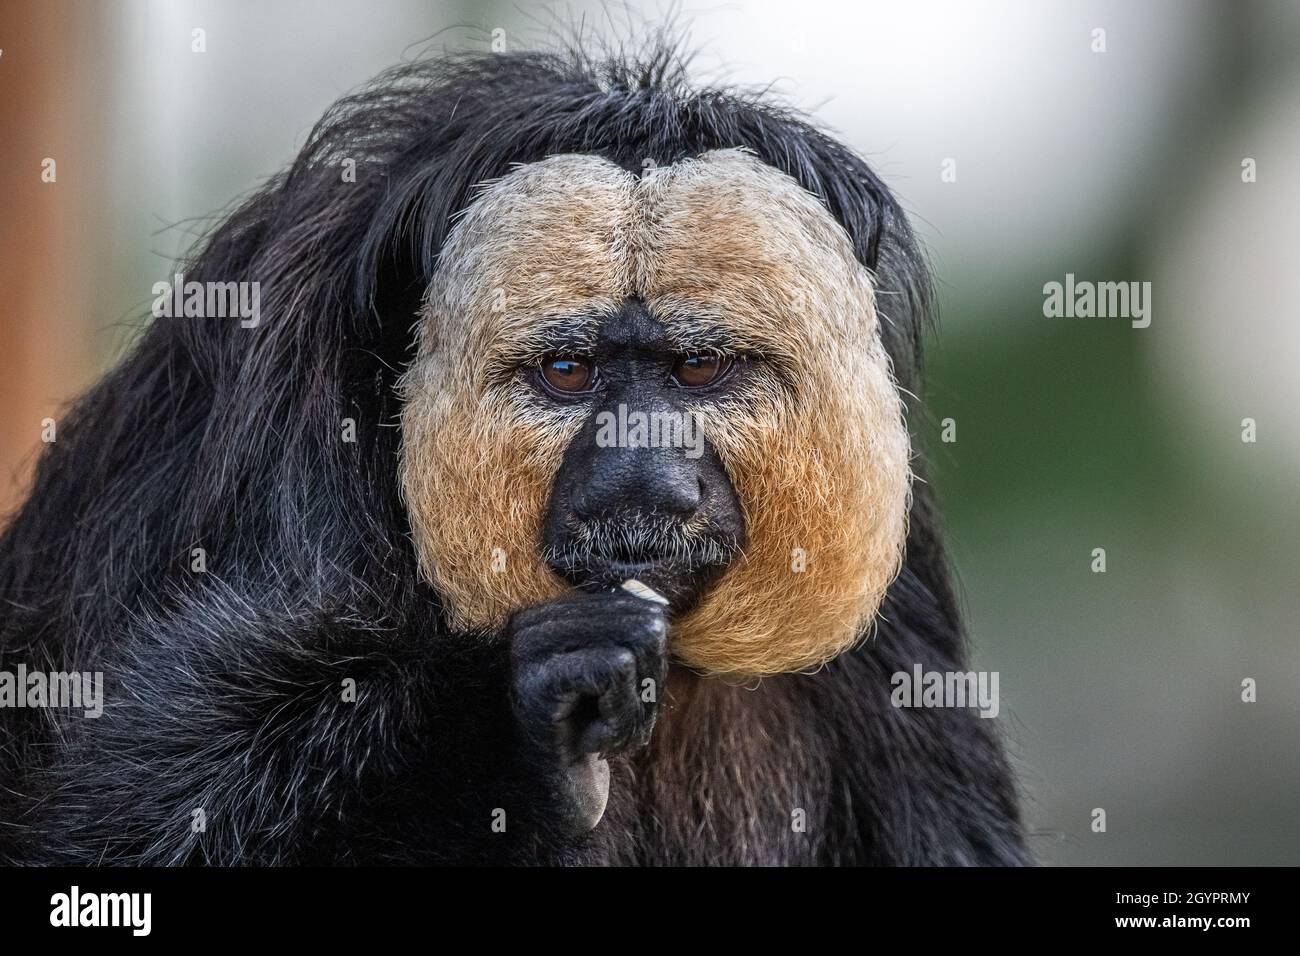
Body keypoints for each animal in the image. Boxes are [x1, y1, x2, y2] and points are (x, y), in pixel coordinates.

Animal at [0, 42, 1029, 865]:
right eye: (569, 372)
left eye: (698, 367)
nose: (641, 483)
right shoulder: (255, 469)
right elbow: (123, 826)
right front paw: (527, 730)